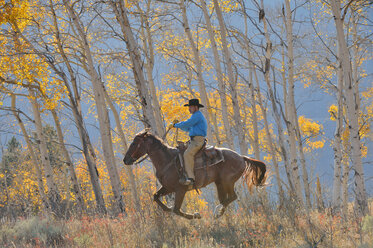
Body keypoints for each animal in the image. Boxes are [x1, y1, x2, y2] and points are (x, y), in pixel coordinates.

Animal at [123, 130, 266, 219]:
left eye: (134, 143)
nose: (125, 160)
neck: (167, 160)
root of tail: (241, 157)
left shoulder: (180, 189)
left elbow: (176, 209)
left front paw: (195, 215)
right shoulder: (168, 188)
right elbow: (156, 197)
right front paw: (168, 208)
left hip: (227, 181)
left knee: (232, 197)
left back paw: (216, 211)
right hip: (219, 183)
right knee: (225, 199)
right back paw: (218, 213)